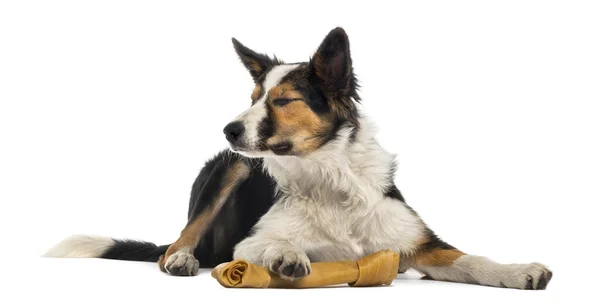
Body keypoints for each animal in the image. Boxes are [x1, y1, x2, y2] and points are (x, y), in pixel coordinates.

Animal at [43, 27, 552, 290]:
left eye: (283, 101)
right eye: (252, 98)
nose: (228, 129)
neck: (331, 178)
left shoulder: (417, 244)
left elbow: (470, 259)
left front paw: (518, 270)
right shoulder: (247, 244)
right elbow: (272, 245)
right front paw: (287, 255)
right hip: (229, 167)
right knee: (176, 242)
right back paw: (181, 260)